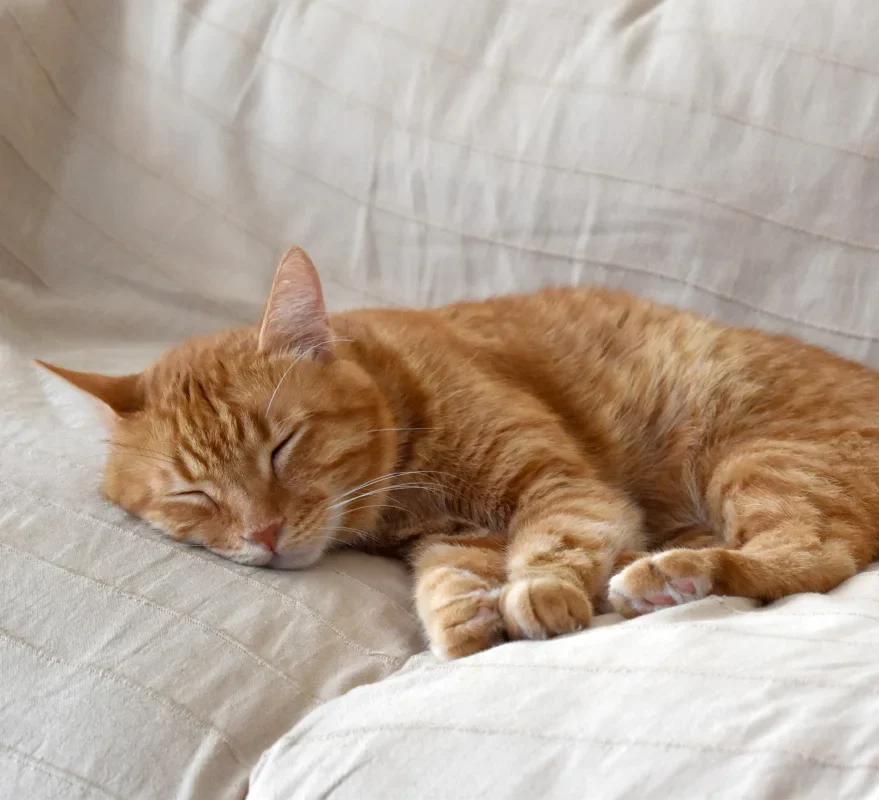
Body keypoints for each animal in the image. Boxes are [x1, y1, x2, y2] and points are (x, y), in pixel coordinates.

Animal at [36, 245, 879, 656]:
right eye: (194, 495)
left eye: (283, 446)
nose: (263, 536)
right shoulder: (458, 536)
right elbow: (447, 580)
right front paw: (465, 620)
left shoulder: (561, 486)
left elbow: (555, 539)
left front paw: (536, 592)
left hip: (758, 459)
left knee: (814, 557)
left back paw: (672, 577)